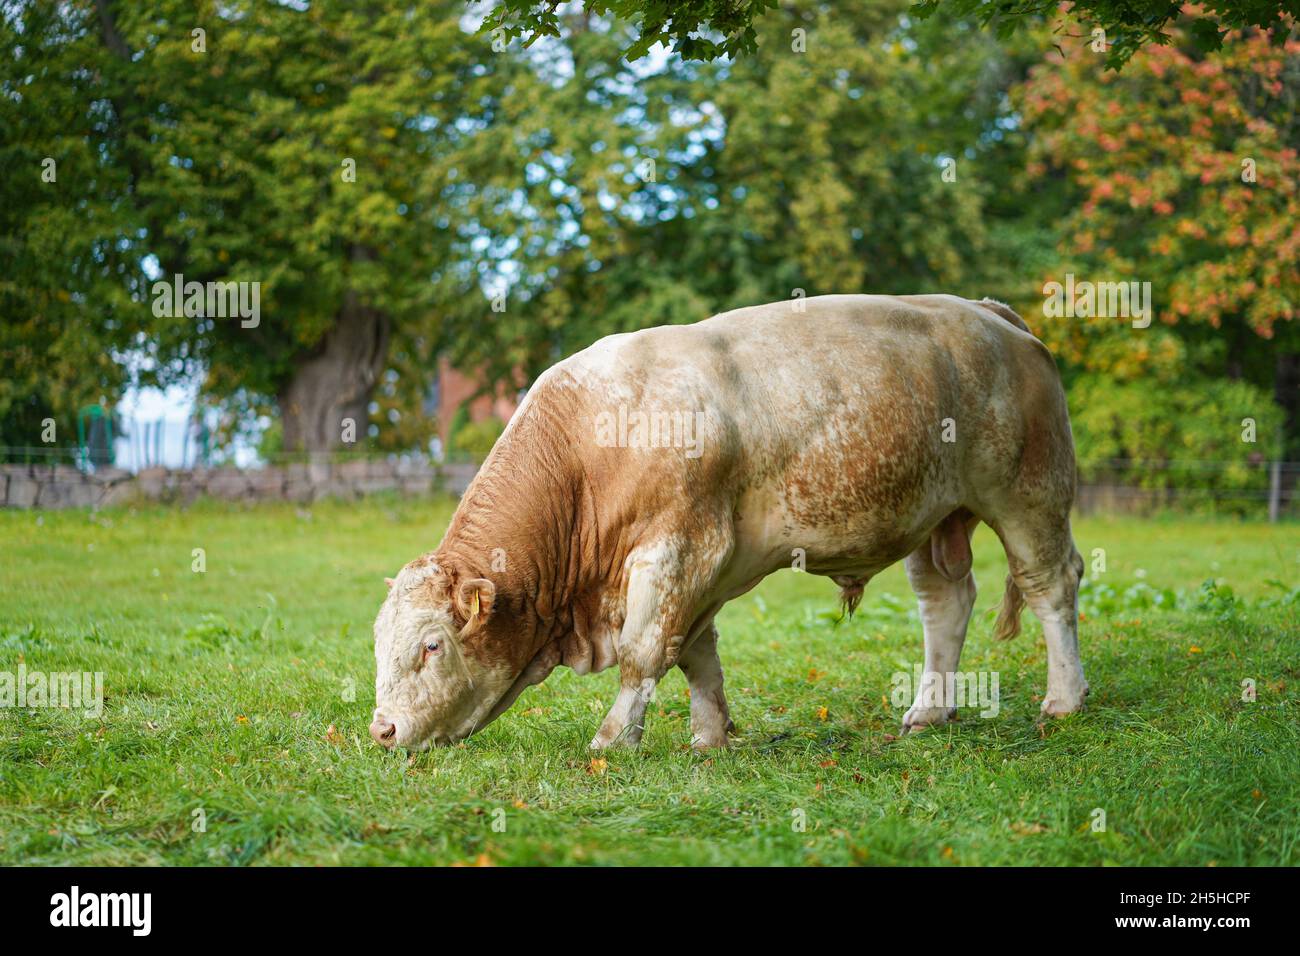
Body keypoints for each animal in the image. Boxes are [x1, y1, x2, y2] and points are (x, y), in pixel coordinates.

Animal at [369, 295, 1086, 749]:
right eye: (378, 643)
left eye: (432, 645)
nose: (381, 729)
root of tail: (987, 313)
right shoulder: (704, 566)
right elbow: (695, 654)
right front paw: (709, 736)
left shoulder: (679, 550)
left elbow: (644, 652)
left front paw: (612, 740)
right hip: (935, 514)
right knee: (946, 603)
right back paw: (928, 711)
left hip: (1028, 493)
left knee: (1051, 584)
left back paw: (1064, 700)